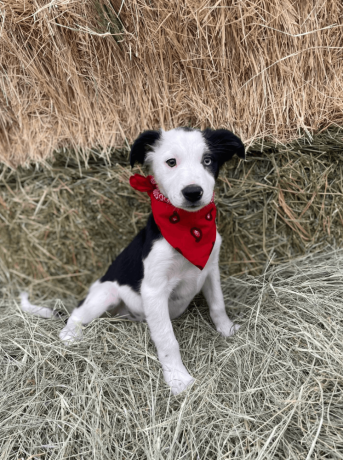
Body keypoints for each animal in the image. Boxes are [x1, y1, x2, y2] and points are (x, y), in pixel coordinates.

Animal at [20, 126, 245, 396]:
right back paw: (71, 335)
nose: (193, 192)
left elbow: (218, 305)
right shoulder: (154, 290)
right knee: (74, 316)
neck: (189, 229)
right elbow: (167, 339)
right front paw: (178, 379)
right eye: (171, 162)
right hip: (105, 294)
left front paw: (228, 330)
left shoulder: (210, 271)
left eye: (208, 160)